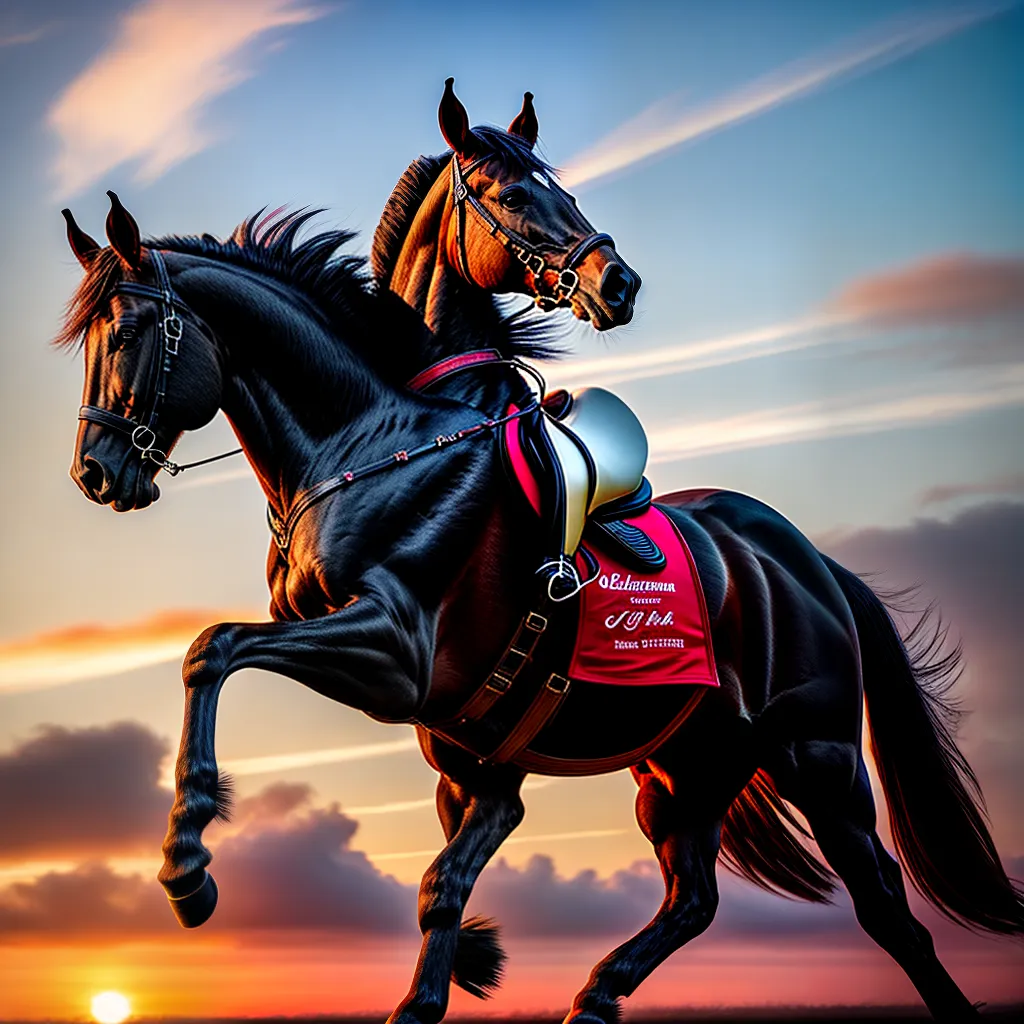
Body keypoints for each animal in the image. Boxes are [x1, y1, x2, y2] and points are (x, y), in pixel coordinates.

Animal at [55, 81, 1021, 1023]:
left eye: (129, 331)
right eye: (516, 196)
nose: (96, 472)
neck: (375, 438)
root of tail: (813, 564)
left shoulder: (394, 654)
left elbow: (213, 648)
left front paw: (188, 866)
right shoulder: (469, 754)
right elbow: (442, 886)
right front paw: (440, 985)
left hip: (817, 756)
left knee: (887, 908)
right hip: (685, 766)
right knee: (695, 896)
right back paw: (594, 998)